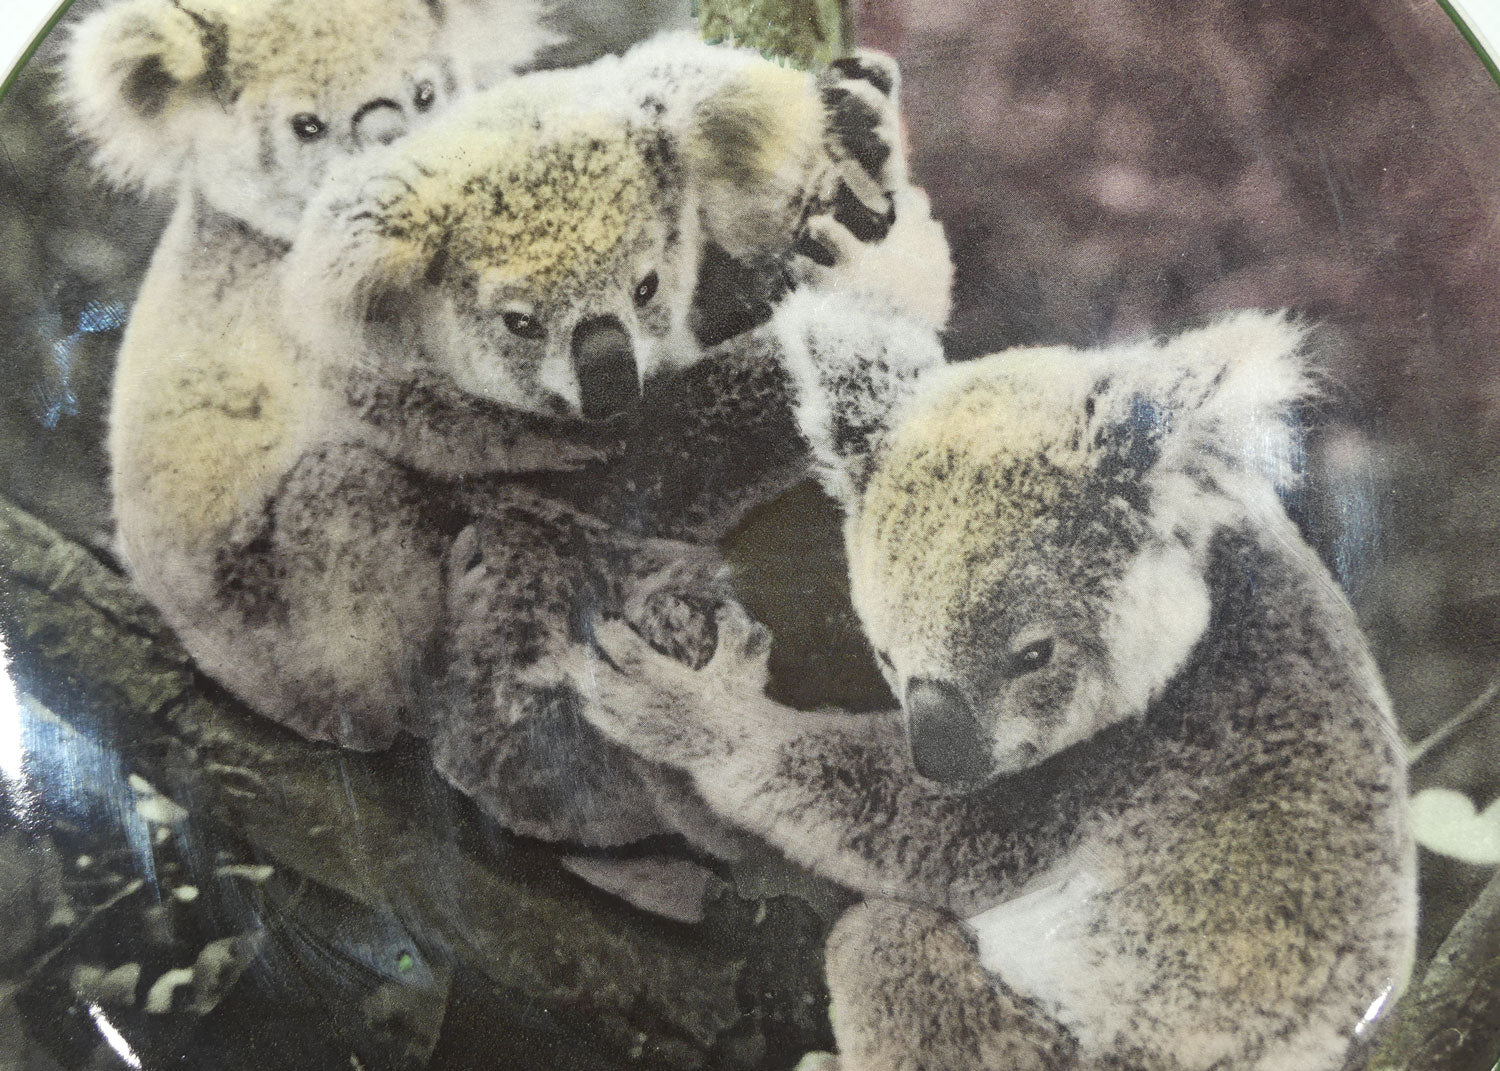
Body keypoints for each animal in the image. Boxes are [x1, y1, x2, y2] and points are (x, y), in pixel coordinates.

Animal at [562, 295, 1417, 1067]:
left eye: (1034, 654)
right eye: (884, 654)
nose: (942, 759)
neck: (1214, 613)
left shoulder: (1135, 763)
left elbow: (922, 833)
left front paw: (693, 709)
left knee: (879, 942)